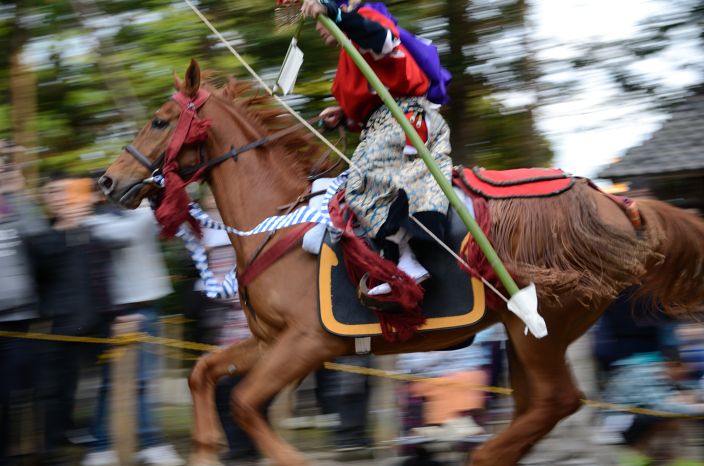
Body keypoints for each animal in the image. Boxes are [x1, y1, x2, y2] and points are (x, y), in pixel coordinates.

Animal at [97, 59, 704, 466]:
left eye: (159, 120)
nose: (106, 180)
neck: (281, 221)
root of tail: (617, 204)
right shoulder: (270, 341)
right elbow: (203, 373)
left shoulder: (307, 343)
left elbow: (245, 404)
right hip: (523, 332)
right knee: (540, 406)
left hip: (543, 324)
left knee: (556, 400)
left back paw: (481, 456)